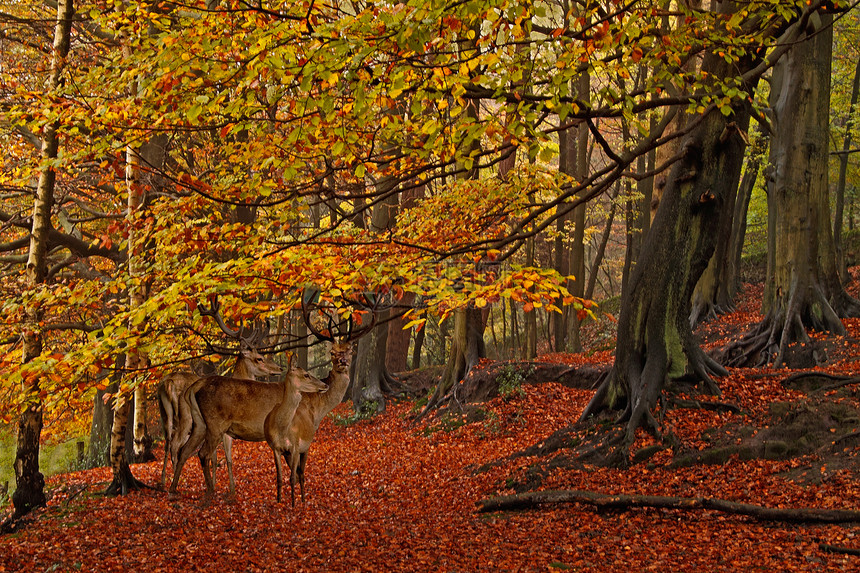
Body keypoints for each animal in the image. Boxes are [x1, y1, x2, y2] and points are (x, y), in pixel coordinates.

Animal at [170, 362, 328, 500]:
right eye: (306, 375)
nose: (324, 385)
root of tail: (193, 388)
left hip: (199, 423)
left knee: (184, 450)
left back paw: (173, 489)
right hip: (215, 424)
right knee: (203, 453)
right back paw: (210, 491)